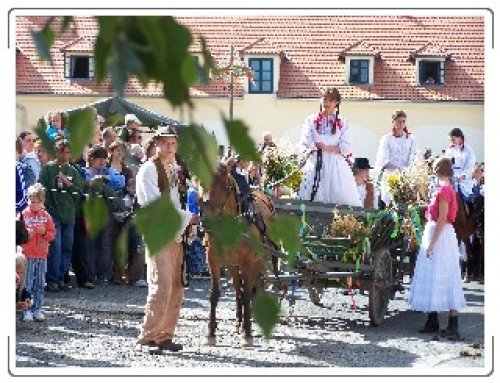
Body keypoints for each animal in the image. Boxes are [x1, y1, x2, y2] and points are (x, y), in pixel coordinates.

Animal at [201, 165, 276, 348]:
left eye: (225, 187)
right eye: (201, 182)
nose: (207, 220)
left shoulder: (248, 262)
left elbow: (247, 294)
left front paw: (248, 334)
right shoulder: (212, 258)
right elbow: (215, 294)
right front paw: (211, 333)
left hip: (258, 261)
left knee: (252, 288)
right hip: (232, 264)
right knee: (237, 288)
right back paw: (238, 322)